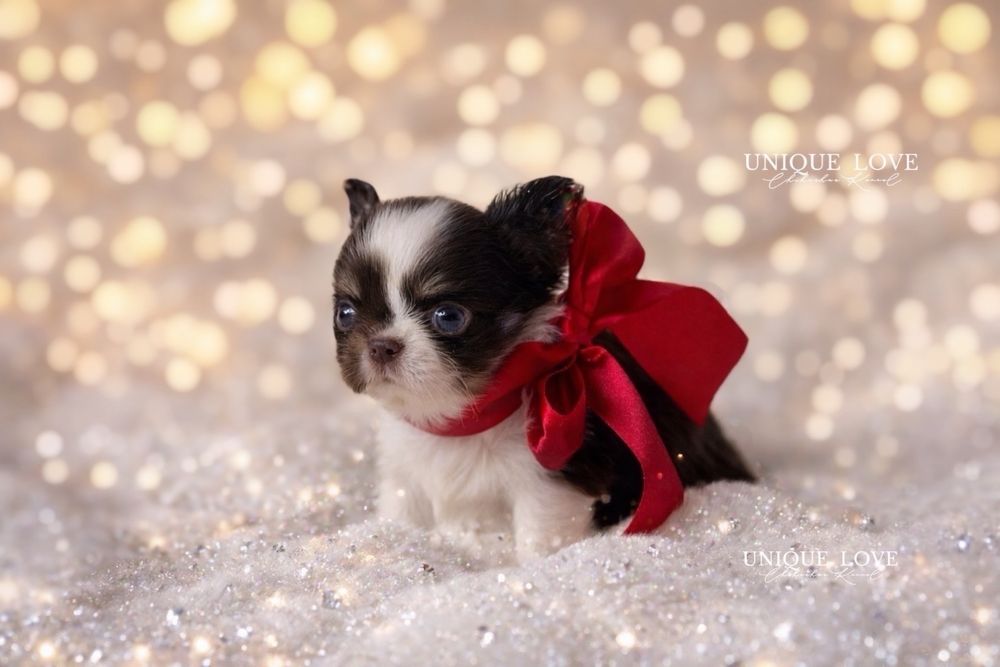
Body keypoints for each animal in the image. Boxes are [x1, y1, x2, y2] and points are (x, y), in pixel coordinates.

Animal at [332, 176, 754, 561]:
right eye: (345, 314)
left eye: (448, 317)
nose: (382, 345)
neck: (464, 421)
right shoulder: (403, 475)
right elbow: (401, 520)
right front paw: (392, 542)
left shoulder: (549, 484)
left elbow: (539, 543)